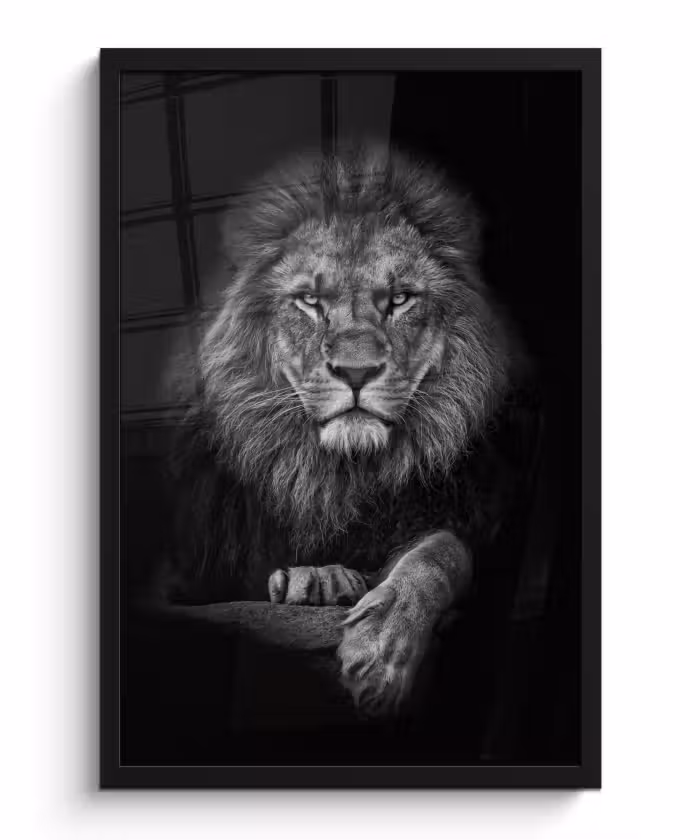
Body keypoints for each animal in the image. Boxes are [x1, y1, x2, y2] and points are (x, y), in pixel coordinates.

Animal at [164, 145, 532, 717]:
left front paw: (381, 651)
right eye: (310, 301)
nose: (356, 373)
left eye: (400, 299)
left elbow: (441, 553)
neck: (342, 474)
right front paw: (314, 578)